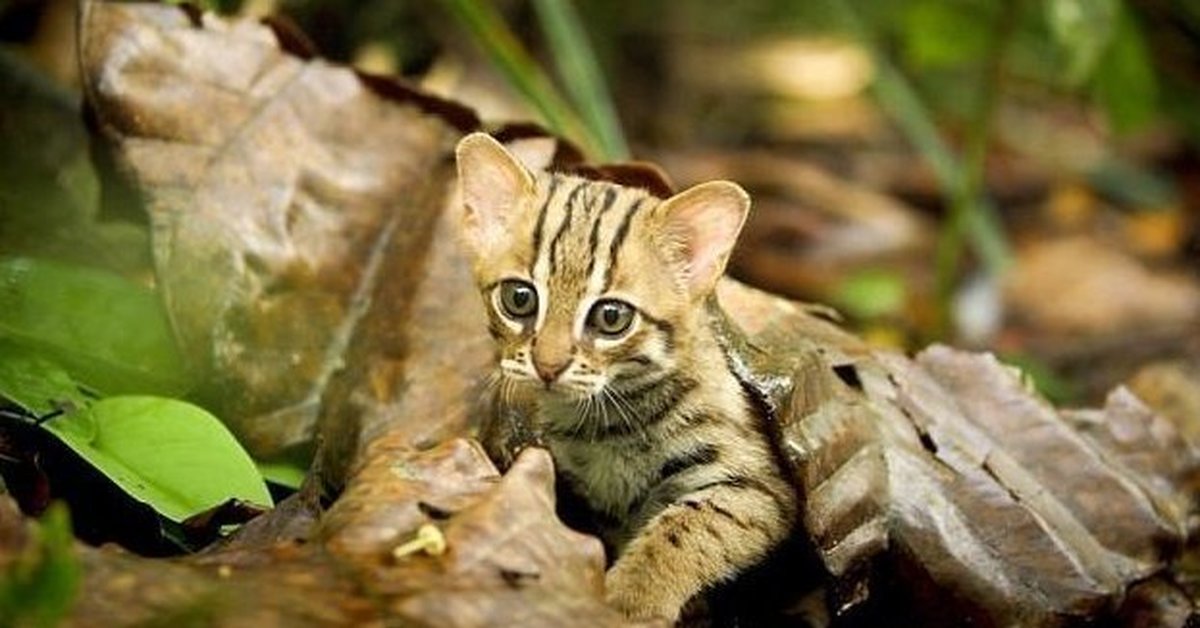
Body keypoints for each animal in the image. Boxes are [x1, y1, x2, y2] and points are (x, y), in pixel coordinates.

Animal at [451, 133, 796, 624]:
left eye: (612, 317)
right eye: (519, 298)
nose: (548, 366)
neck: (607, 422)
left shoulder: (761, 487)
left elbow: (688, 526)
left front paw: (631, 600)